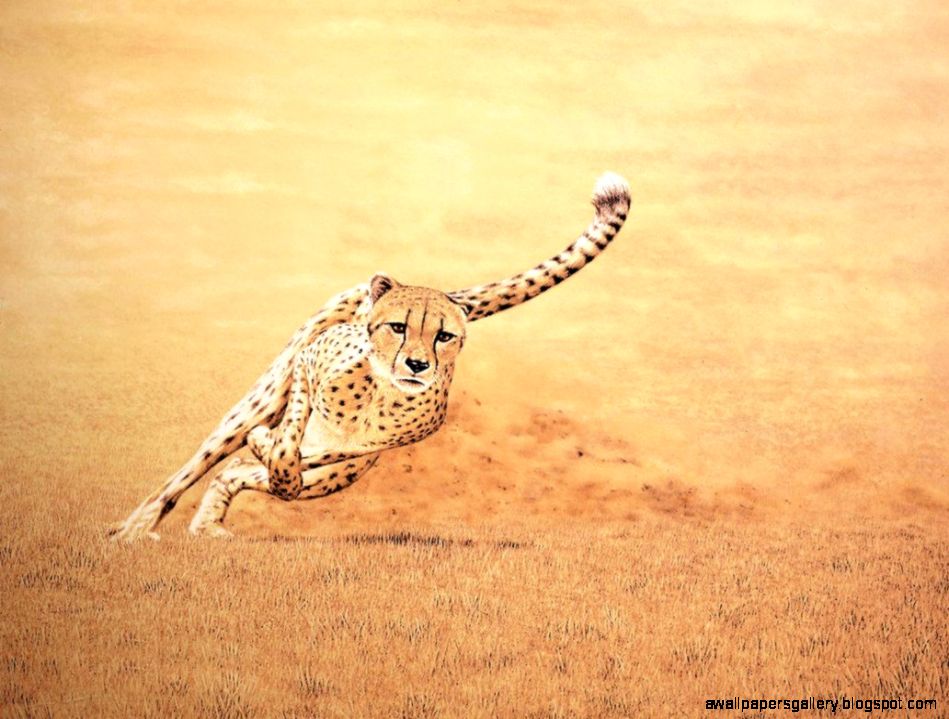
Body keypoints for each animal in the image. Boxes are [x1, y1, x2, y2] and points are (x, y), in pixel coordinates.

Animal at [109, 172, 631, 541]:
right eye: (398, 328)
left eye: (444, 336)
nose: (417, 365)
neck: (380, 392)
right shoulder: (306, 371)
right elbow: (286, 438)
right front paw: (271, 445)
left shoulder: (359, 451)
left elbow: (295, 464)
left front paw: (276, 464)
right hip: (259, 400)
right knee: (199, 466)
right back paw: (135, 528)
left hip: (339, 476)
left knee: (239, 472)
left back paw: (210, 523)